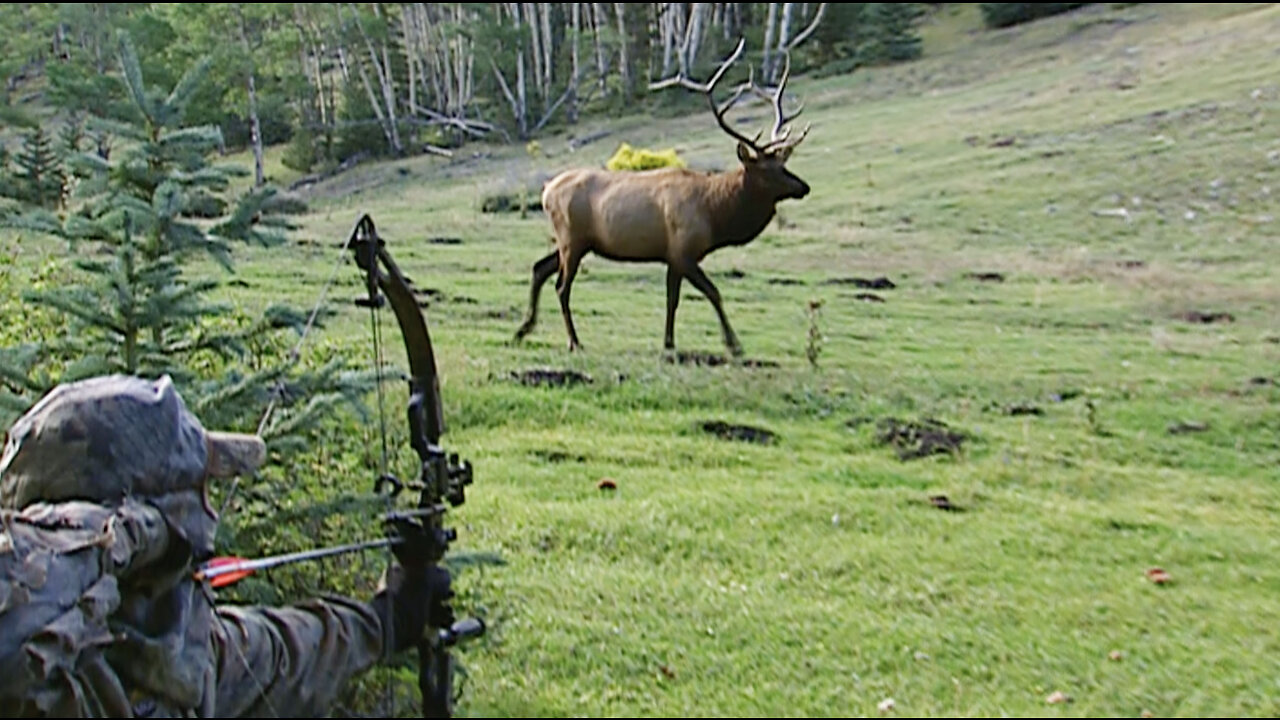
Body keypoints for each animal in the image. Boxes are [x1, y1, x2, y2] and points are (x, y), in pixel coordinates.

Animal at [509, 37, 808, 353]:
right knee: (561, 286)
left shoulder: (672, 257)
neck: (714, 214)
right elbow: (713, 292)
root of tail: (546, 192)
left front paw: (669, 343)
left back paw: (523, 329)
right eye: (766, 170)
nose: (804, 187)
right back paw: (573, 341)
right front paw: (733, 344)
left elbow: (671, 300)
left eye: (783, 165)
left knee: (539, 268)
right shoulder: (683, 251)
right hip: (572, 239)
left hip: (576, 242)